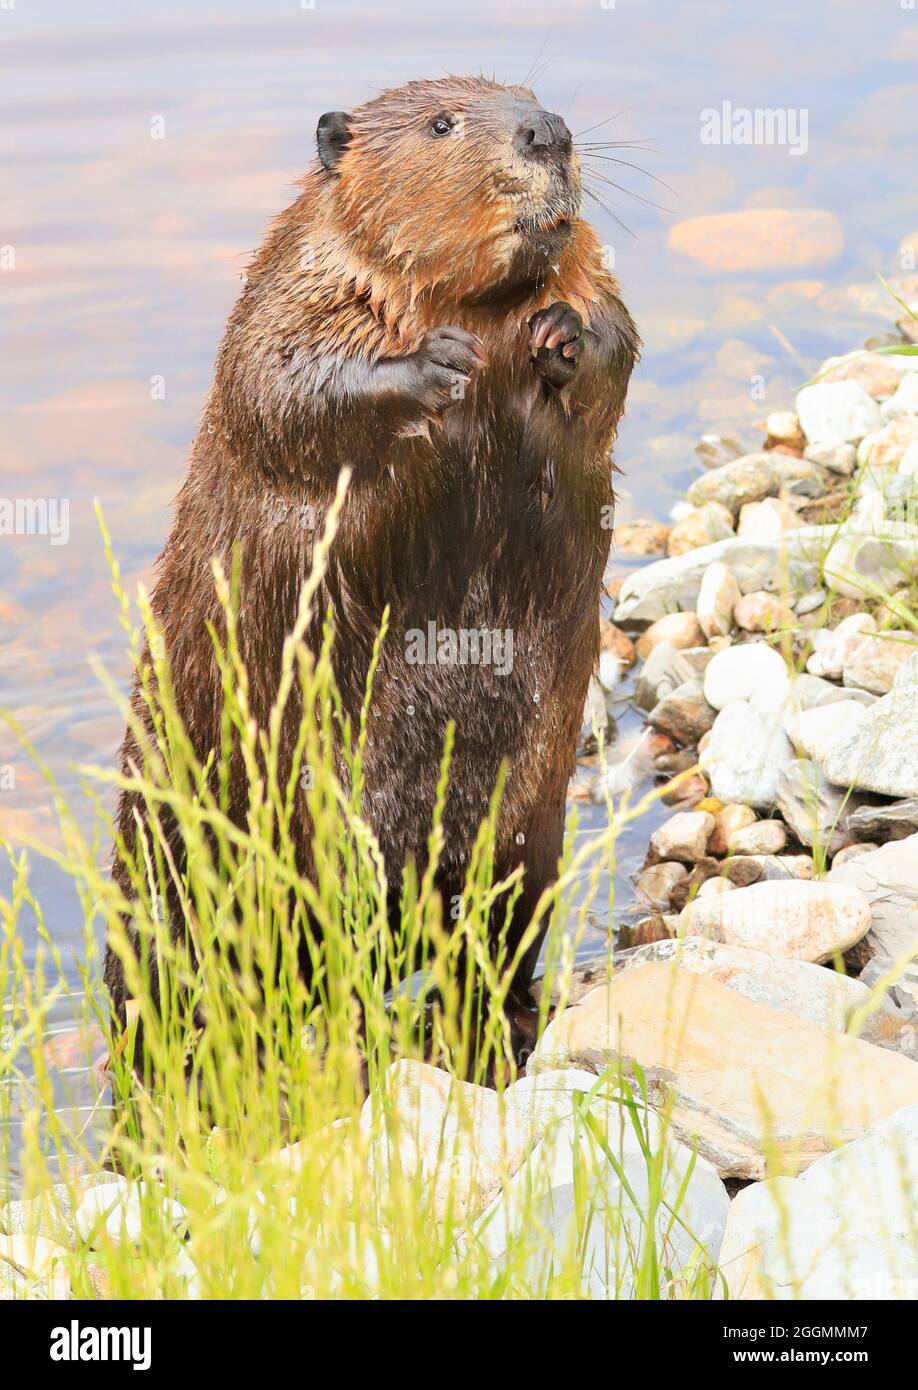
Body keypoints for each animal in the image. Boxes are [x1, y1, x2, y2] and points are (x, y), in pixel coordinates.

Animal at [105, 76, 637, 1067]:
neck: (484, 304)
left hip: (530, 827)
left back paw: (494, 1023)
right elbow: (280, 381)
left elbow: (613, 344)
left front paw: (560, 332)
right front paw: (435, 362)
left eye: (533, 97)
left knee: (493, 932)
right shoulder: (301, 276)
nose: (548, 131)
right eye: (441, 122)